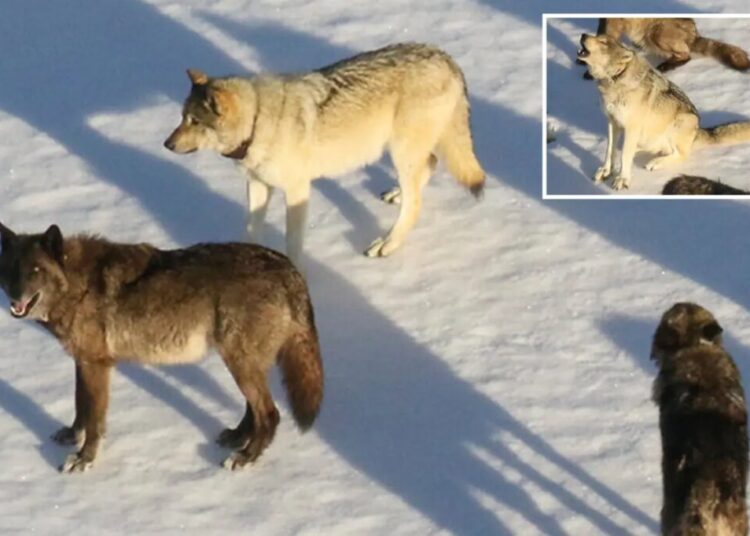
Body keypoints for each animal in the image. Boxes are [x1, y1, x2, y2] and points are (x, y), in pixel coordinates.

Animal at [0, 222, 323, 473]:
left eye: (36, 270)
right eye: (12, 270)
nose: (15, 298)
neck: (78, 285)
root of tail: (290, 269)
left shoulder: (98, 365)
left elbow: (94, 420)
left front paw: (83, 460)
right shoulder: (83, 362)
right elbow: (81, 406)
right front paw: (71, 436)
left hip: (240, 363)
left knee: (270, 414)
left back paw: (244, 458)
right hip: (241, 363)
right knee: (254, 409)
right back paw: (235, 438)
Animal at [164, 43, 485, 263]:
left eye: (194, 121)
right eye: (182, 117)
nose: (166, 144)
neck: (258, 120)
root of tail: (447, 58)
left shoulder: (297, 190)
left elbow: (293, 241)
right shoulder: (257, 184)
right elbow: (252, 229)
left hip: (401, 152)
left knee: (416, 200)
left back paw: (387, 244)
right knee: (428, 167)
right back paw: (396, 195)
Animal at [577, 34, 750, 190]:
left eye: (603, 42)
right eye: (597, 36)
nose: (583, 35)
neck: (615, 79)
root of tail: (698, 130)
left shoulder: (632, 127)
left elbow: (626, 155)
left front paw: (623, 180)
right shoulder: (612, 122)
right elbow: (610, 150)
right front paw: (605, 172)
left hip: (681, 121)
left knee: (680, 155)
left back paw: (655, 163)